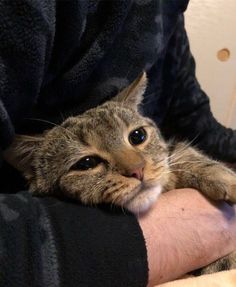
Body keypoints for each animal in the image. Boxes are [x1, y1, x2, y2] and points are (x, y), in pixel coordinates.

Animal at [2, 72, 236, 274]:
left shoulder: (176, 152)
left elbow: (183, 155)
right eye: (86, 163)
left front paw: (223, 178)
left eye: (138, 136)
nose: (137, 170)